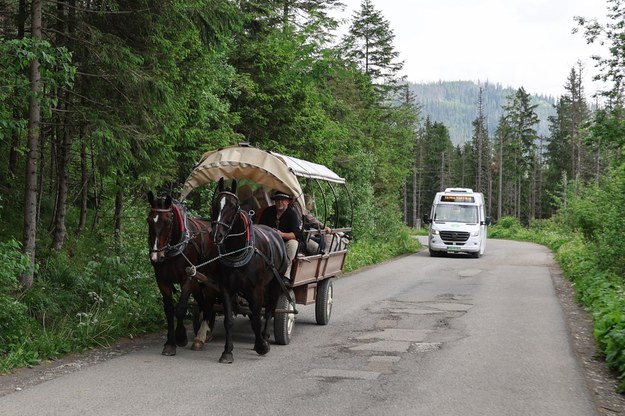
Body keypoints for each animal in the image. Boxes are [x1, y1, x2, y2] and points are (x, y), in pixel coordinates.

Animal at [146, 190, 218, 356]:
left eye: (168, 222)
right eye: (149, 220)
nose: (155, 257)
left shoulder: (188, 278)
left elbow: (180, 309)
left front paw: (181, 337)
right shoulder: (162, 280)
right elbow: (168, 310)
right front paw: (170, 343)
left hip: (208, 278)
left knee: (209, 301)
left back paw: (201, 336)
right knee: (202, 301)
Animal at [210, 179, 288, 364]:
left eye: (233, 206)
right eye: (215, 204)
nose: (217, 235)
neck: (237, 251)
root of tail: (275, 232)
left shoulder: (255, 289)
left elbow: (257, 319)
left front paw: (261, 346)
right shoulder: (226, 288)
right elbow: (229, 320)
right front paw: (227, 352)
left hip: (276, 282)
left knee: (270, 309)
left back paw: (265, 336)